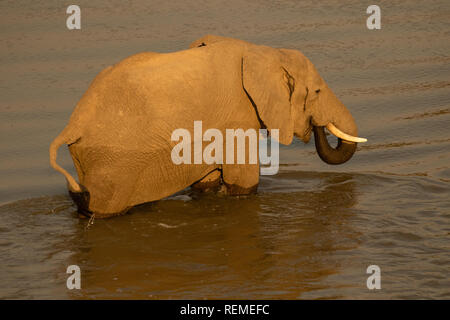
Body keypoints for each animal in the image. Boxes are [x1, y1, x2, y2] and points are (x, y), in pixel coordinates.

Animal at [49, 34, 366, 218]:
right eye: (317, 92)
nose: (317, 125)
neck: (264, 52)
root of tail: (72, 125)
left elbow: (208, 182)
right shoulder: (238, 116)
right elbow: (244, 182)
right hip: (115, 160)